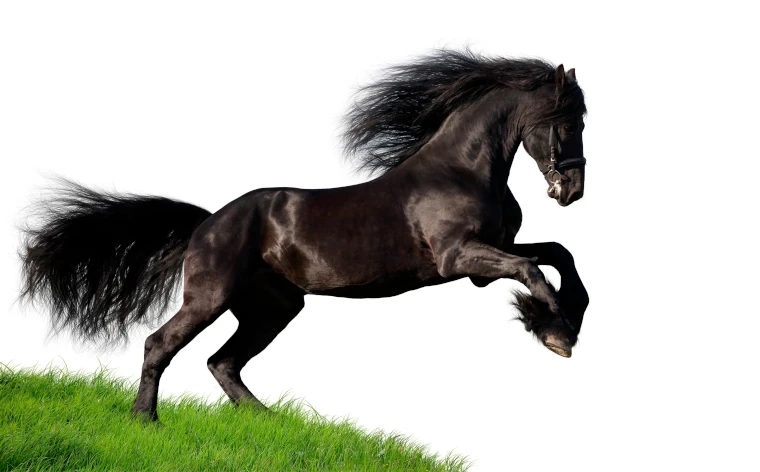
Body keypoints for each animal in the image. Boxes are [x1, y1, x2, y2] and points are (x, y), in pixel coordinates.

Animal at [20, 49, 589, 421]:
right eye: (568, 122)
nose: (572, 191)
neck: (461, 171)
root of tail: (206, 223)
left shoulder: (485, 261)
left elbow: (558, 255)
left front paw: (565, 320)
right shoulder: (459, 259)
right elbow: (533, 268)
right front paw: (556, 333)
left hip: (273, 307)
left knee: (222, 361)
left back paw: (266, 421)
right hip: (211, 296)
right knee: (161, 344)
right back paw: (145, 419)